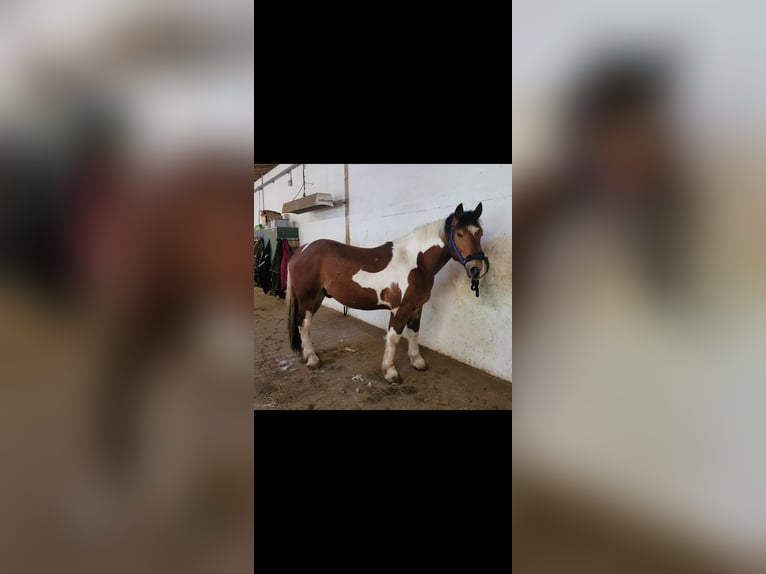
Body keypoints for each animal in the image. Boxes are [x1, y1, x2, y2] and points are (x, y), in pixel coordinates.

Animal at [288, 202, 492, 382]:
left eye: (480, 233)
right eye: (459, 234)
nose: (476, 269)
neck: (416, 262)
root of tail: (301, 250)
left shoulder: (416, 307)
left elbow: (414, 332)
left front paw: (417, 361)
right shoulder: (400, 309)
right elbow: (394, 338)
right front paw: (390, 371)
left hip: (318, 297)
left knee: (302, 323)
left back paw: (307, 354)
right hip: (308, 297)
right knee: (304, 324)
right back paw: (312, 359)